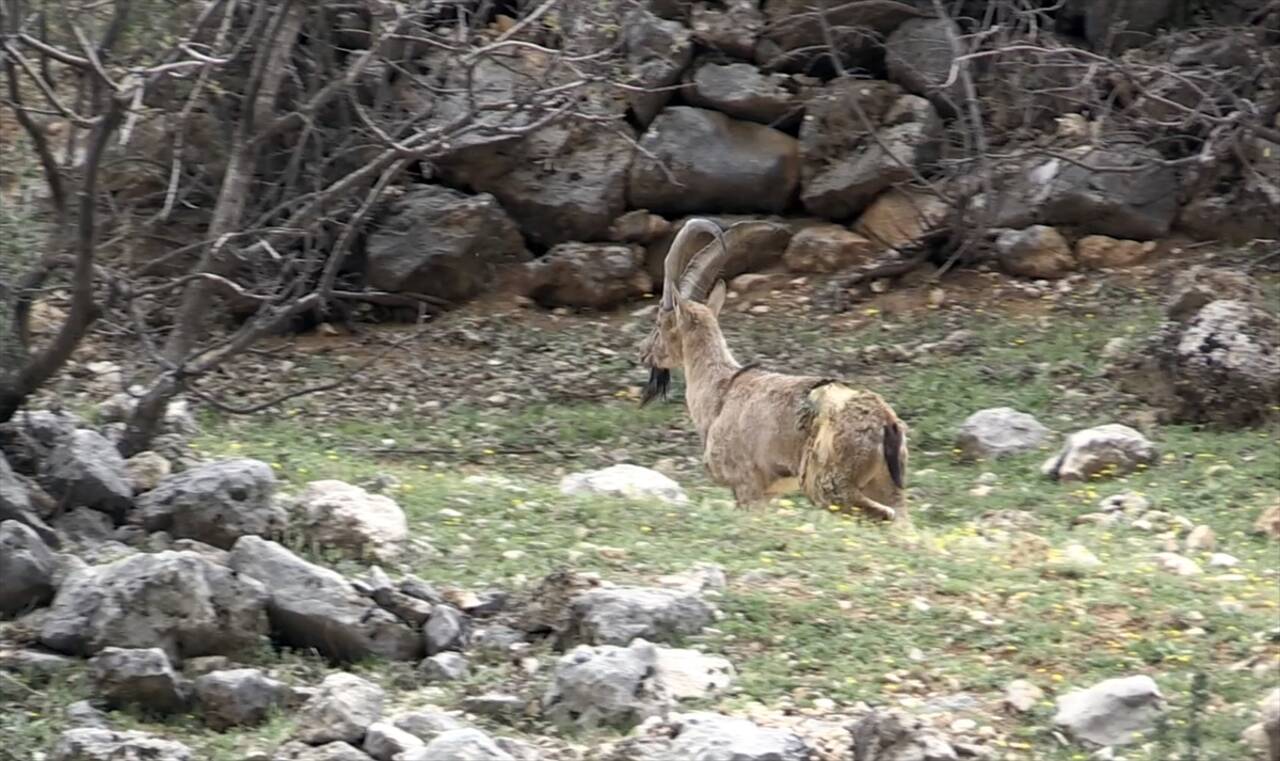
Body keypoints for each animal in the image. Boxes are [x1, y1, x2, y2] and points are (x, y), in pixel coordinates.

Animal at [634, 217, 906, 521]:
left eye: (660, 323)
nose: (643, 352)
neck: (720, 392)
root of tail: (886, 423)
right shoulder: (767, 494)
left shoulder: (748, 486)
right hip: (885, 485)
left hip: (830, 485)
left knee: (883, 514)